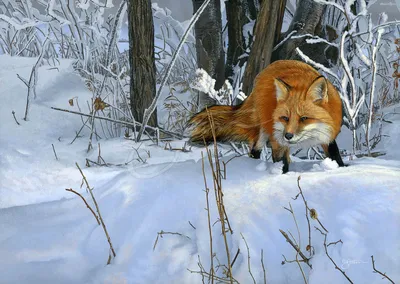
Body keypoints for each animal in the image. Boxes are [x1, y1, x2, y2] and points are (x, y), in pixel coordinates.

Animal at [189, 60, 346, 173]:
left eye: (304, 118)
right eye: (285, 118)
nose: (288, 136)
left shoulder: (327, 135)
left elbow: (335, 155)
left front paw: (341, 169)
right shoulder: (278, 140)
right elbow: (281, 162)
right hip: (263, 132)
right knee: (254, 150)